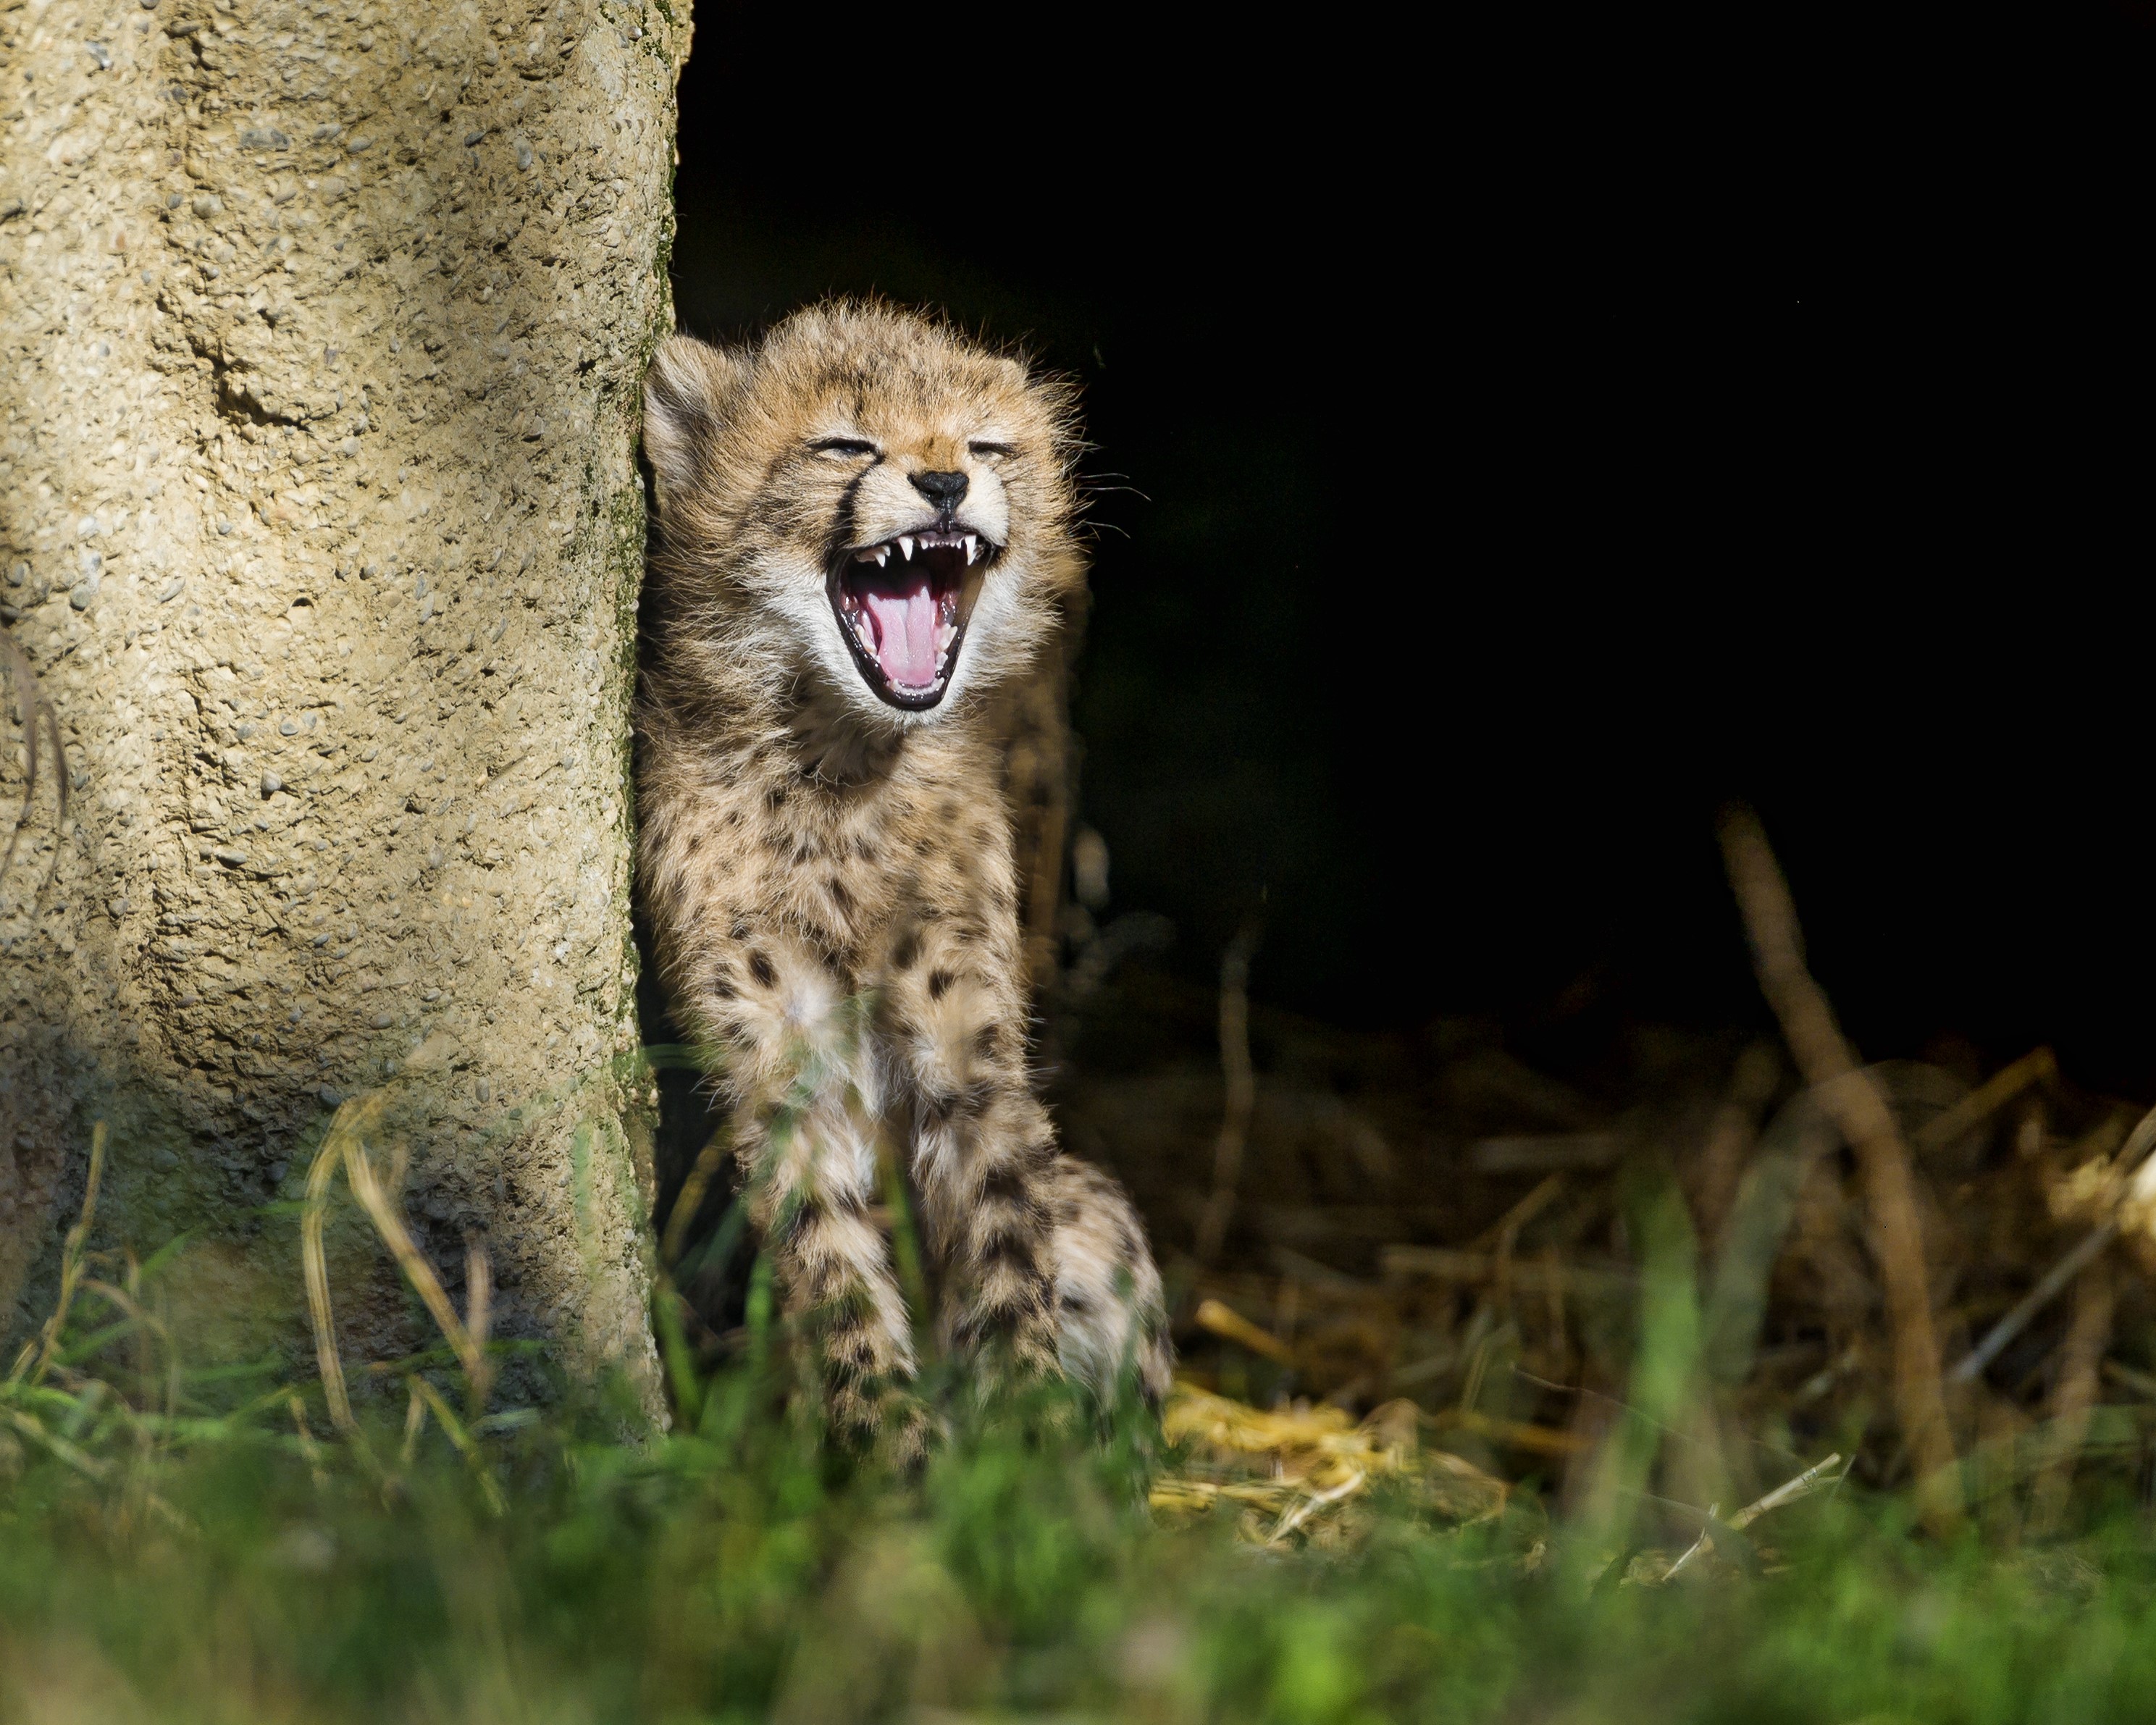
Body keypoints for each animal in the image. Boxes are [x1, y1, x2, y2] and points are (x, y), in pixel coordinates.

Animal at [636, 301, 1171, 1445]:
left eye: (987, 446)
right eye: (844, 444)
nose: (943, 484)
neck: (841, 769)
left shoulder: (967, 1047)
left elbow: (1007, 1240)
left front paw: (1019, 1450)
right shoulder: (777, 1058)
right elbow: (832, 1266)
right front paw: (888, 1446)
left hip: (1098, 1210)